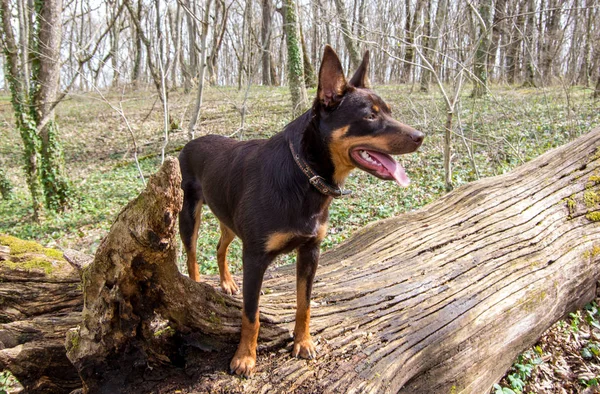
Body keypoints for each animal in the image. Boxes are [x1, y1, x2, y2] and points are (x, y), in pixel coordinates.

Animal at [179, 45, 426, 376]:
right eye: (370, 116)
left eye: (389, 111)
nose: (420, 136)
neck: (303, 175)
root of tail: (190, 142)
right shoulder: (255, 257)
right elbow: (251, 314)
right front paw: (245, 357)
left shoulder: (310, 251)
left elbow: (304, 303)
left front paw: (303, 342)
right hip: (189, 214)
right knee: (192, 254)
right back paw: (197, 286)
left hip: (228, 218)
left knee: (220, 246)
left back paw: (228, 282)